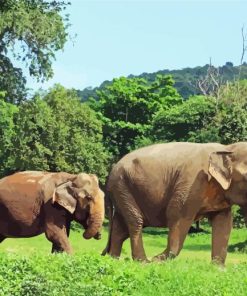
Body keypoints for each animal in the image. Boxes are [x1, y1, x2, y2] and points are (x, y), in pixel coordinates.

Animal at [102, 142, 247, 264]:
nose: (154, 258)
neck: (227, 147)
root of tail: (111, 171)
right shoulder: (192, 183)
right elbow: (177, 216)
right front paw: (157, 260)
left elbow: (223, 223)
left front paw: (218, 268)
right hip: (122, 186)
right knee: (135, 221)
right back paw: (143, 262)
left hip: (123, 191)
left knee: (120, 228)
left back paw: (113, 259)